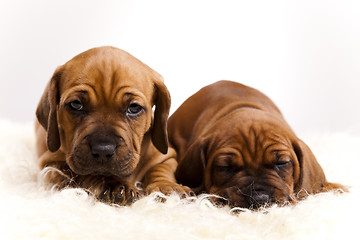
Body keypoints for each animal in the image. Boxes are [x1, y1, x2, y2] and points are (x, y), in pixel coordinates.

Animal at [35, 46, 191, 203]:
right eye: (76, 104)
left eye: (134, 108)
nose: (103, 150)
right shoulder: (52, 166)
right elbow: (85, 174)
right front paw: (115, 184)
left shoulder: (167, 157)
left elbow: (160, 170)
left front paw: (168, 187)